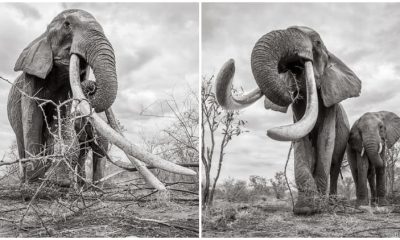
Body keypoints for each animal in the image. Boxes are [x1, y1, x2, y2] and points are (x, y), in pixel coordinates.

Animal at [6, 8, 194, 188]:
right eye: (67, 25)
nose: (91, 86)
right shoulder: (30, 77)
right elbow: (32, 118)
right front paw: (37, 183)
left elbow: (62, 117)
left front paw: (61, 183)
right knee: (22, 136)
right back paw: (28, 180)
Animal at [216, 26, 362, 216]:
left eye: (317, 42)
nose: (289, 91)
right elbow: (300, 140)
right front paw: (305, 208)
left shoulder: (331, 103)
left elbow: (326, 139)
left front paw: (318, 207)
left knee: (335, 164)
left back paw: (333, 203)